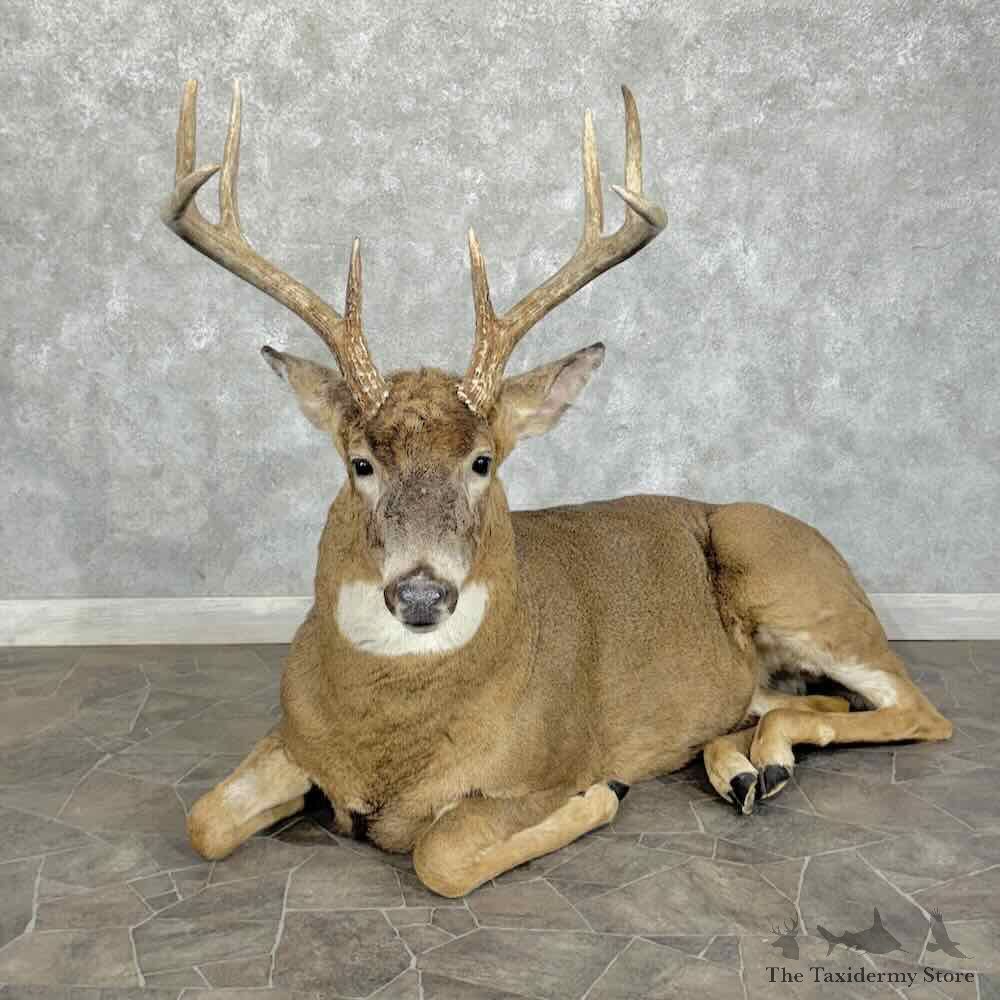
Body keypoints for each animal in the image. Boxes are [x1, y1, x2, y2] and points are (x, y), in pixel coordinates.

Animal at [161, 79, 953, 897]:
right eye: (360, 463)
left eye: (483, 461)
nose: (422, 593)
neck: (386, 744)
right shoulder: (290, 738)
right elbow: (205, 820)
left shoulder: (541, 764)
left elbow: (441, 855)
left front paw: (601, 793)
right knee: (796, 701)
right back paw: (746, 765)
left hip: (787, 573)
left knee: (918, 709)